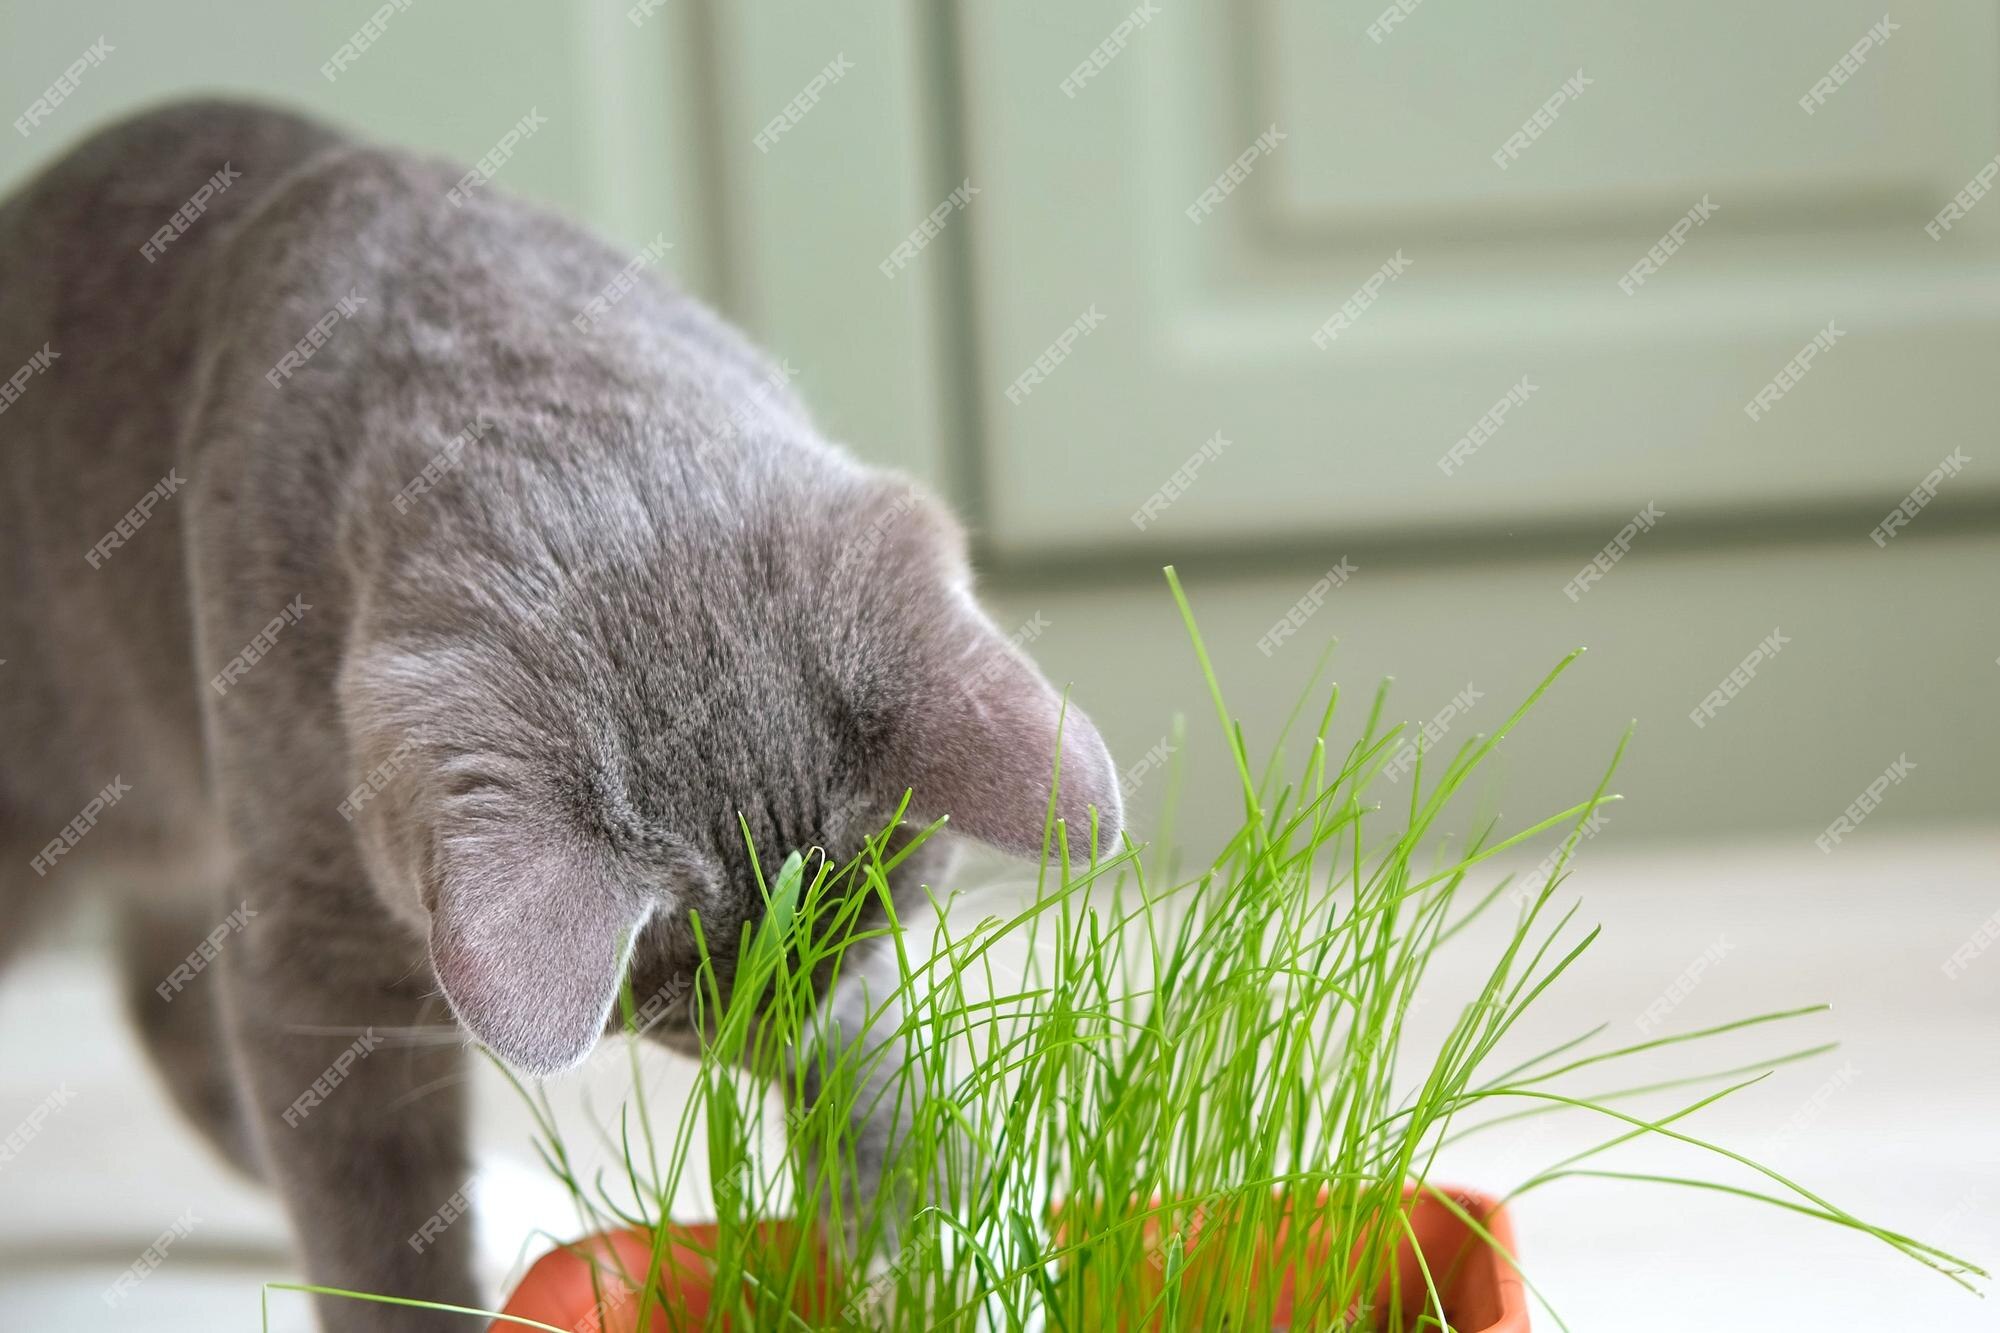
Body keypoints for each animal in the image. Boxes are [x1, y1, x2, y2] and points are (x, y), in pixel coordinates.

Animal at [0, 98, 1120, 1320]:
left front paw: (947, 1267)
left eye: (868, 935)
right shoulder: (313, 921)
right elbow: (368, 1195)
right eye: (675, 1015)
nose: (782, 1041)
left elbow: (885, 1097)